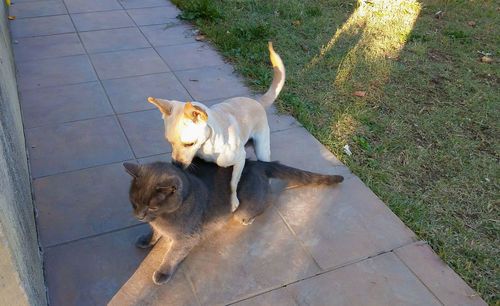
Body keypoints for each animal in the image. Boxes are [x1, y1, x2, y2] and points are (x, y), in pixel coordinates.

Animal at [124, 158, 344, 284]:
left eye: (152, 207)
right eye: (134, 202)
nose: (138, 216)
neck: (163, 217)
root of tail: (257, 163)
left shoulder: (186, 238)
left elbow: (172, 255)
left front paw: (162, 273)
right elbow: (154, 232)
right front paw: (146, 239)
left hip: (245, 207)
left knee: (269, 198)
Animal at [148, 41, 286, 213]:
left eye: (189, 143)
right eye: (169, 143)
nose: (176, 165)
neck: (207, 145)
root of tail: (258, 102)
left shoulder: (240, 159)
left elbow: (233, 183)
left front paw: (233, 201)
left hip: (262, 150)